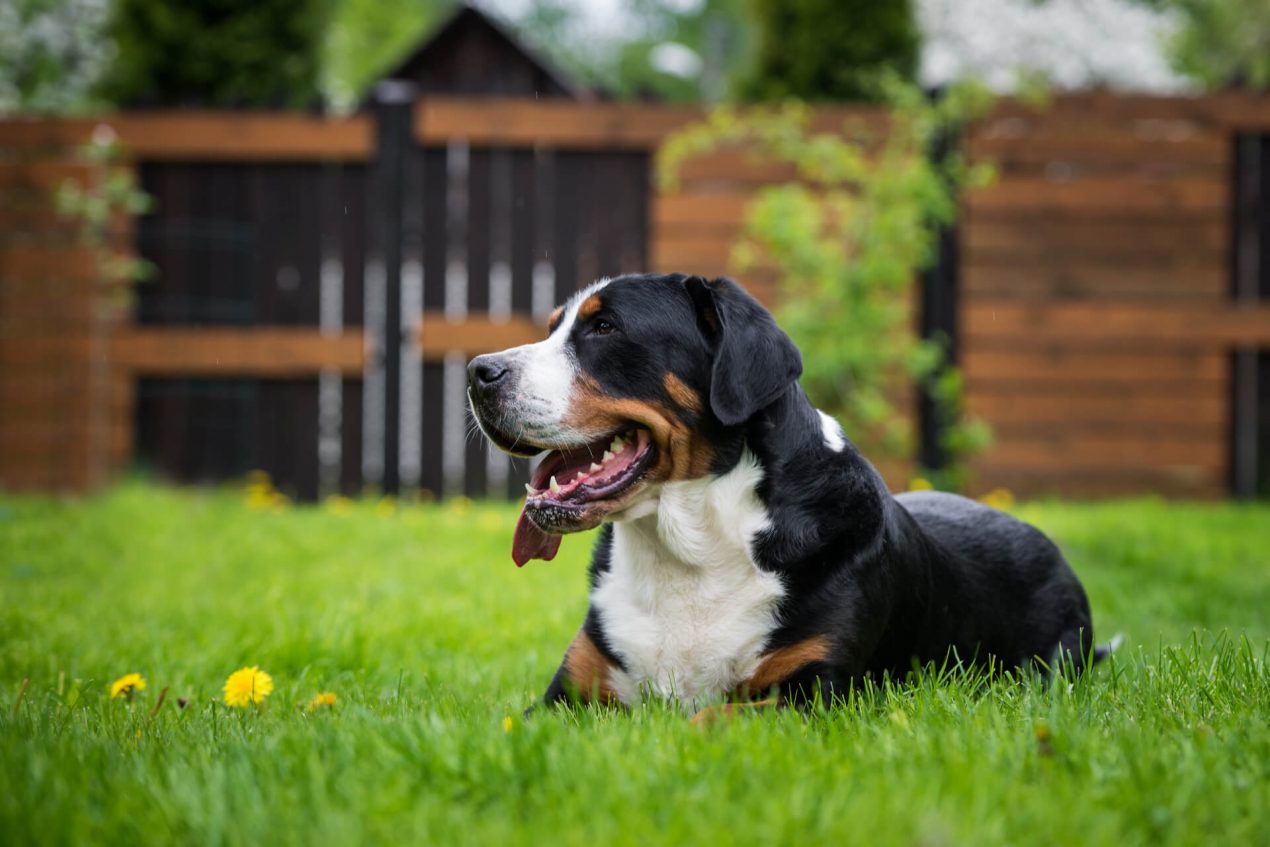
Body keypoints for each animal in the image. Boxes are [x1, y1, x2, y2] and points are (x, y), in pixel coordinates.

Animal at [469, 275, 1112, 711]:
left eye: (604, 328)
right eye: (553, 327)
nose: (478, 372)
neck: (692, 551)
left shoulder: (805, 696)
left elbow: (708, 717)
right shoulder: (566, 698)